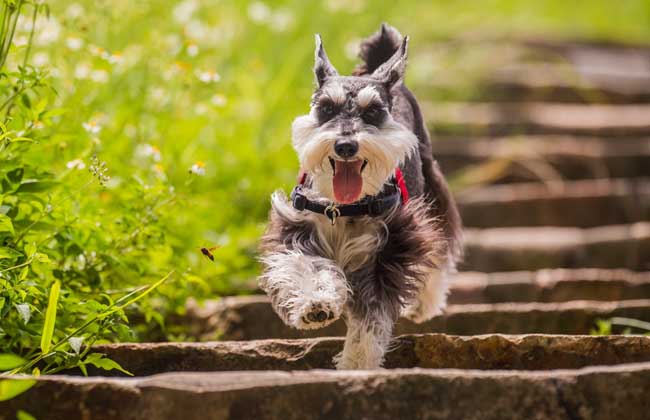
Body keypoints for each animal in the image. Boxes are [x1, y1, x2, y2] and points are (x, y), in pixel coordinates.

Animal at [258, 24, 460, 370]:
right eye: (326, 108)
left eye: (374, 112)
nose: (345, 145)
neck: (344, 207)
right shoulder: (297, 229)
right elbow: (307, 266)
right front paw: (315, 304)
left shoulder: (389, 250)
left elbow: (371, 316)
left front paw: (358, 362)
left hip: (432, 189)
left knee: (440, 246)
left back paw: (425, 303)